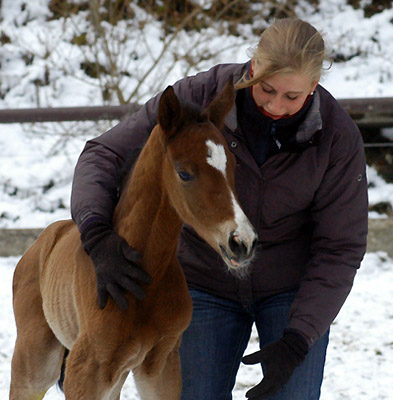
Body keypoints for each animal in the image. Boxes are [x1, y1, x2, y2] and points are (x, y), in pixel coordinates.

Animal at [9, 79, 258, 398]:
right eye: (184, 173)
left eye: (233, 165)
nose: (242, 242)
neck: (141, 280)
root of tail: (39, 245)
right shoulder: (85, 368)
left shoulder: (162, 365)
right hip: (35, 363)